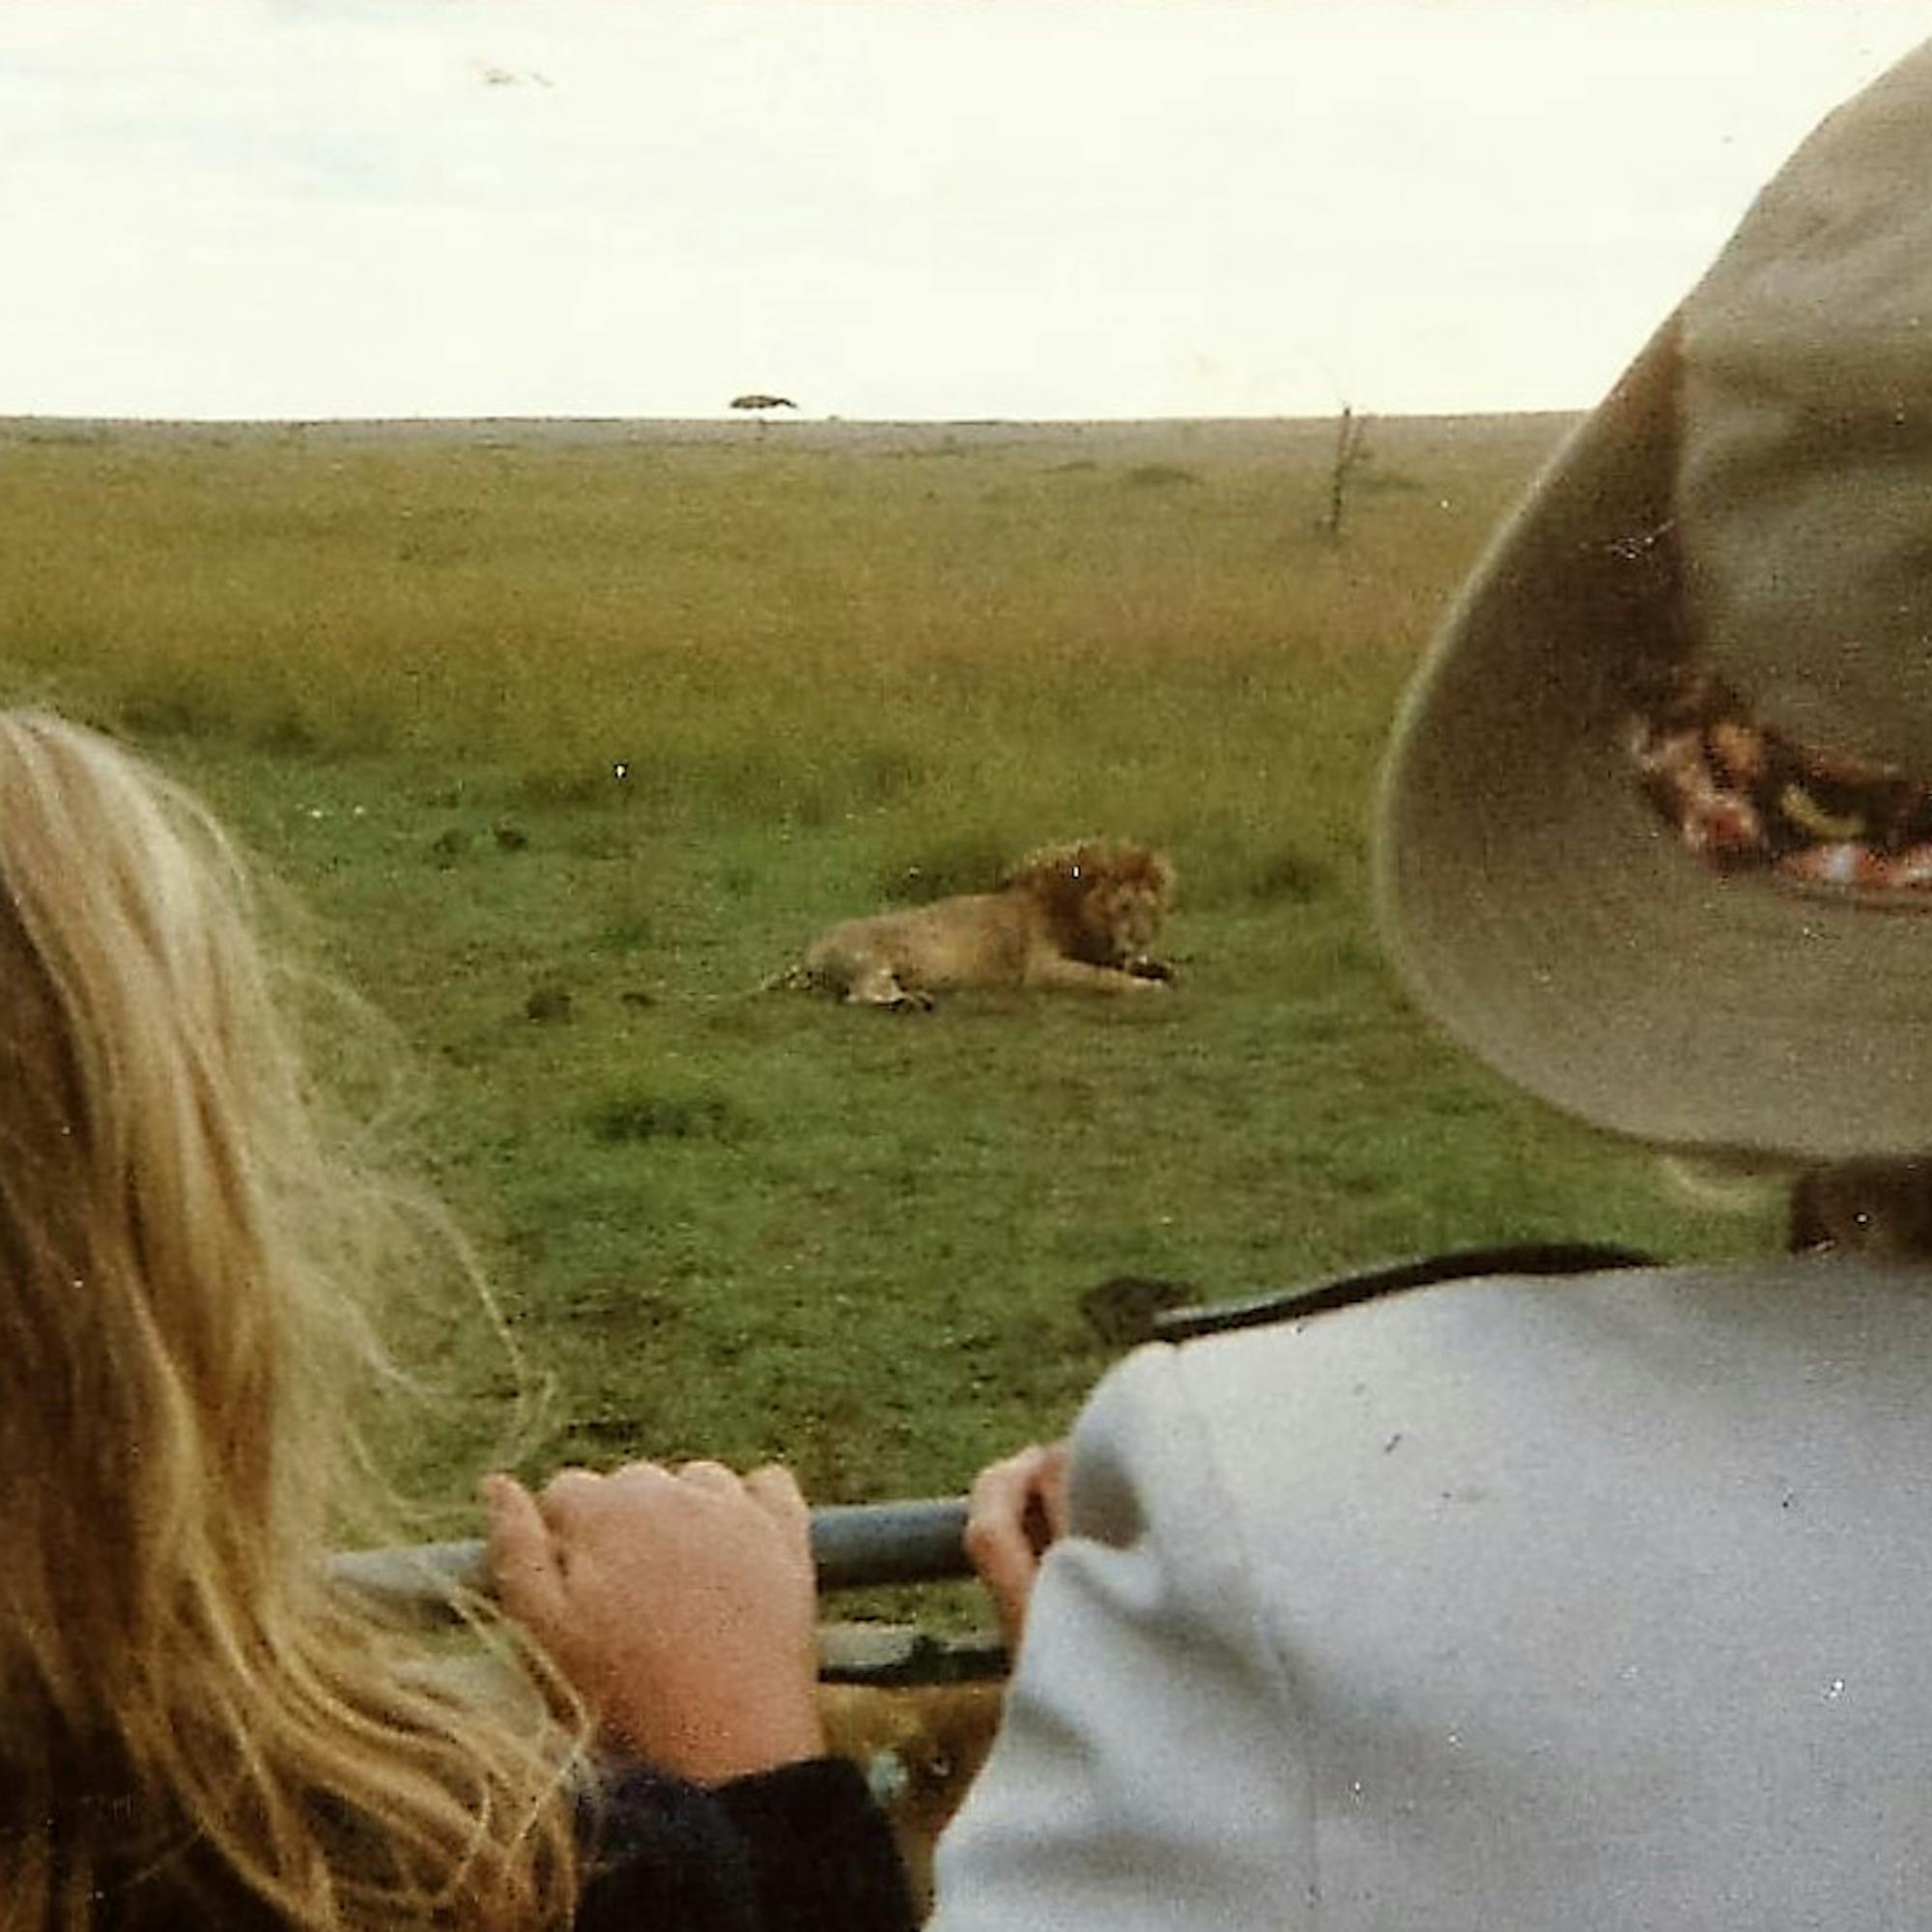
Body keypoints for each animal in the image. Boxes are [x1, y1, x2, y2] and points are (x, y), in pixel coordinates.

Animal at [773, 837, 1177, 1009]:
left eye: (1149, 909)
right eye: (1123, 907)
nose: (1139, 944)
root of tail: (808, 953)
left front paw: (1160, 970)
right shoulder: (1040, 970)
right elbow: (1104, 978)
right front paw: (1148, 986)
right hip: (869, 961)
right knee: (862, 995)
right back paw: (914, 1002)